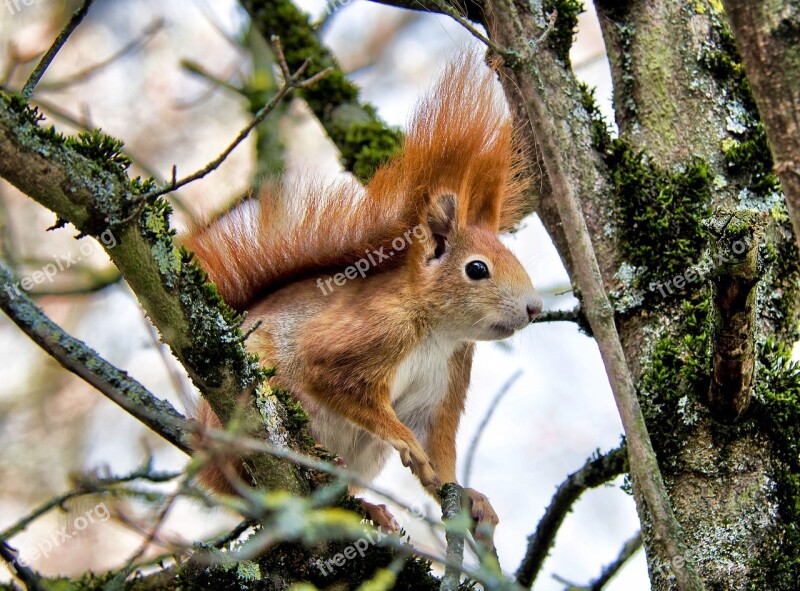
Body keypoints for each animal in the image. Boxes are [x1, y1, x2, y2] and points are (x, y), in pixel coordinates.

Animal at [183, 54, 544, 544]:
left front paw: (468, 496)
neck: (437, 332)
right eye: (477, 269)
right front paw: (403, 439)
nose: (534, 308)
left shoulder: (447, 379)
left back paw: (368, 507)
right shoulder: (366, 334)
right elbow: (335, 381)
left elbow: (438, 448)